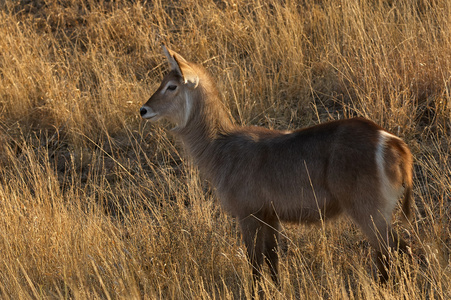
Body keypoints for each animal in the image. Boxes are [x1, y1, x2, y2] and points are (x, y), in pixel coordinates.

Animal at [140, 44, 414, 286]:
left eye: (171, 86)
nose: (143, 109)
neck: (220, 145)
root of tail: (392, 141)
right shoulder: (270, 215)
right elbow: (272, 261)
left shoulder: (248, 213)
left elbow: (254, 263)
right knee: (397, 250)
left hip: (367, 210)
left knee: (393, 251)